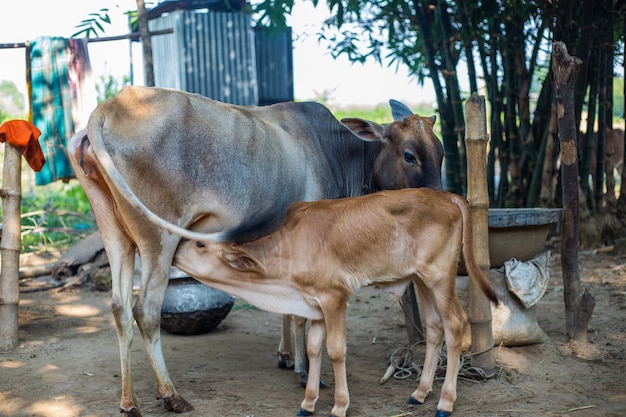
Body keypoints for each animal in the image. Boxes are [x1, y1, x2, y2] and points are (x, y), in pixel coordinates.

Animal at [66, 85, 442, 416]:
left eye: (440, 154)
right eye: (409, 155)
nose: (438, 197)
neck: (335, 152)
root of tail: (110, 107)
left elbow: (286, 306)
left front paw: (286, 356)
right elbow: (300, 313)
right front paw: (305, 372)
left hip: (115, 235)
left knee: (120, 309)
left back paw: (129, 402)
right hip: (158, 239)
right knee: (145, 310)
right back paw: (170, 395)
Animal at [172, 188, 498, 416]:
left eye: (200, 244)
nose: (173, 252)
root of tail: (446, 195)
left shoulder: (335, 298)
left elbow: (336, 350)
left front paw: (340, 406)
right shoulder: (314, 306)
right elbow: (314, 349)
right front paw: (308, 403)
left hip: (440, 277)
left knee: (455, 325)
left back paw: (445, 402)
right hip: (420, 280)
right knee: (434, 328)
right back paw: (420, 393)